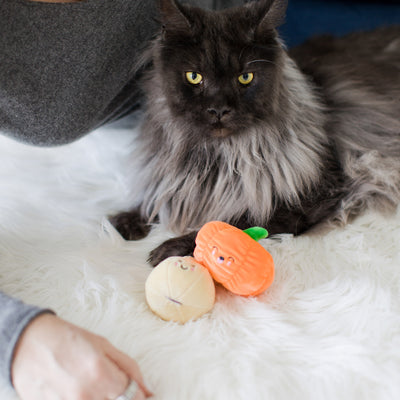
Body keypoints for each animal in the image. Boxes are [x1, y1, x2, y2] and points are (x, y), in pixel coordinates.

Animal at [110, 0, 400, 268]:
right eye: (194, 77)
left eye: (245, 78)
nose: (218, 109)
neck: (216, 158)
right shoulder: (177, 181)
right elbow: (157, 199)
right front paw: (124, 221)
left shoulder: (316, 193)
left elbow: (228, 224)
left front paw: (170, 248)